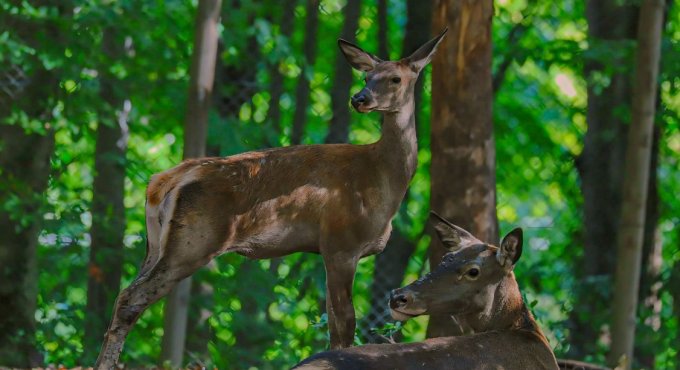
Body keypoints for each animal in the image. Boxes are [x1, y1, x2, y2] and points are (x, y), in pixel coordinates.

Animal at [93, 28, 448, 368]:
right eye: (366, 77)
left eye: (395, 78)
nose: (359, 98)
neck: (381, 178)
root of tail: (164, 181)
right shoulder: (341, 242)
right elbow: (345, 324)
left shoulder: (331, 249)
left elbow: (333, 322)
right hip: (193, 241)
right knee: (131, 298)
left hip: (155, 245)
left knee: (122, 295)